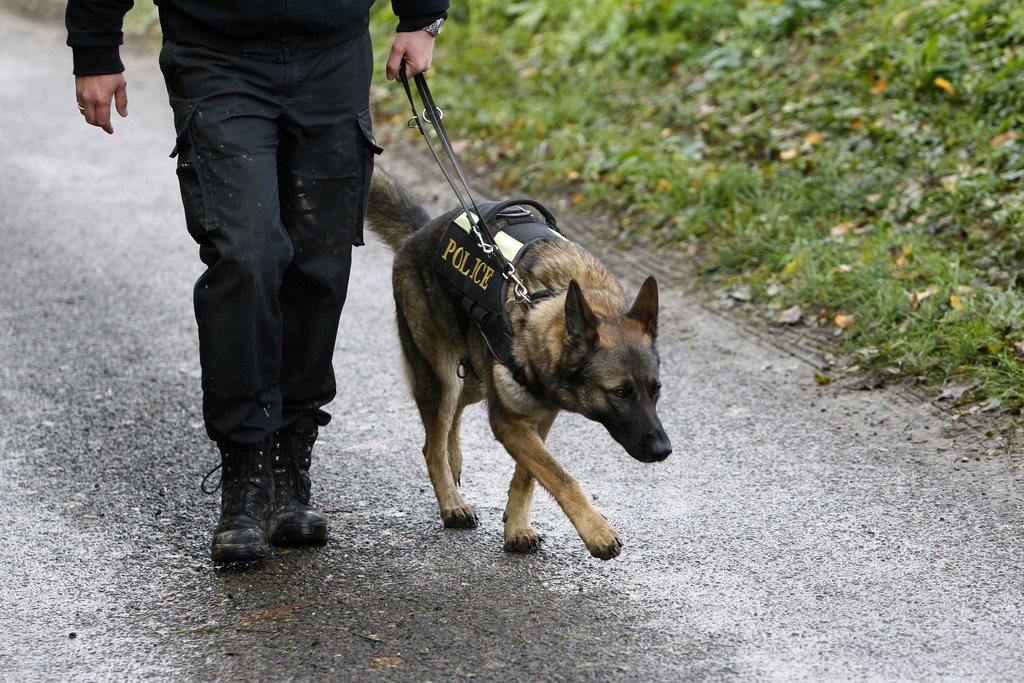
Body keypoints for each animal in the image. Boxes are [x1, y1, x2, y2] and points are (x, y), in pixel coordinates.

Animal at [368, 167, 671, 557]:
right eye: (620, 393)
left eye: (655, 390)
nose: (664, 450)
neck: (539, 303)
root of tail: (419, 234)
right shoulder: (509, 421)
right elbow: (559, 474)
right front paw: (596, 531)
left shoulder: (538, 416)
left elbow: (529, 475)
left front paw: (517, 527)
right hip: (443, 377)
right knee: (432, 444)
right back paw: (451, 502)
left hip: (474, 379)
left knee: (455, 415)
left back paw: (454, 458)